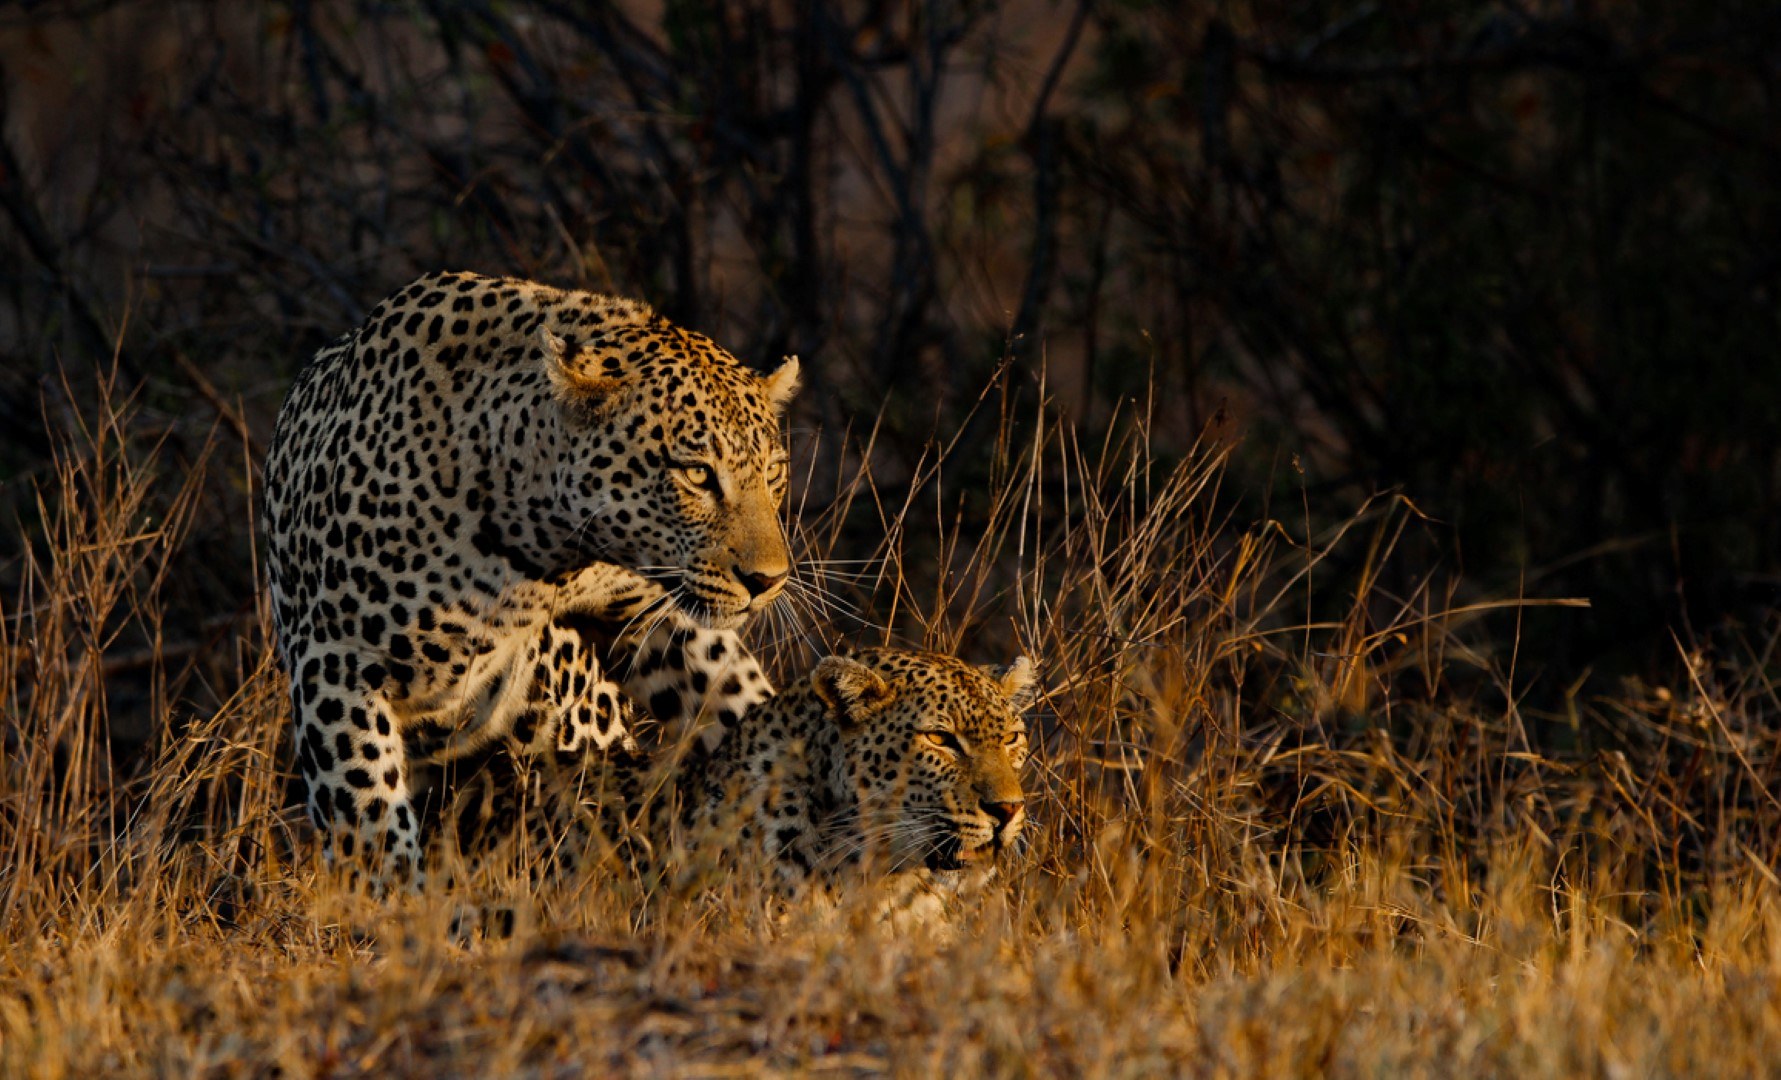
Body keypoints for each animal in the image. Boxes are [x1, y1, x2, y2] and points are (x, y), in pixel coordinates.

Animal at [260, 270, 797, 887]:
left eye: (773, 471)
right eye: (697, 474)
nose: (769, 580)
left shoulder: (652, 613)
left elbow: (742, 696)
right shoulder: (336, 661)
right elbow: (371, 828)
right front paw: (394, 905)